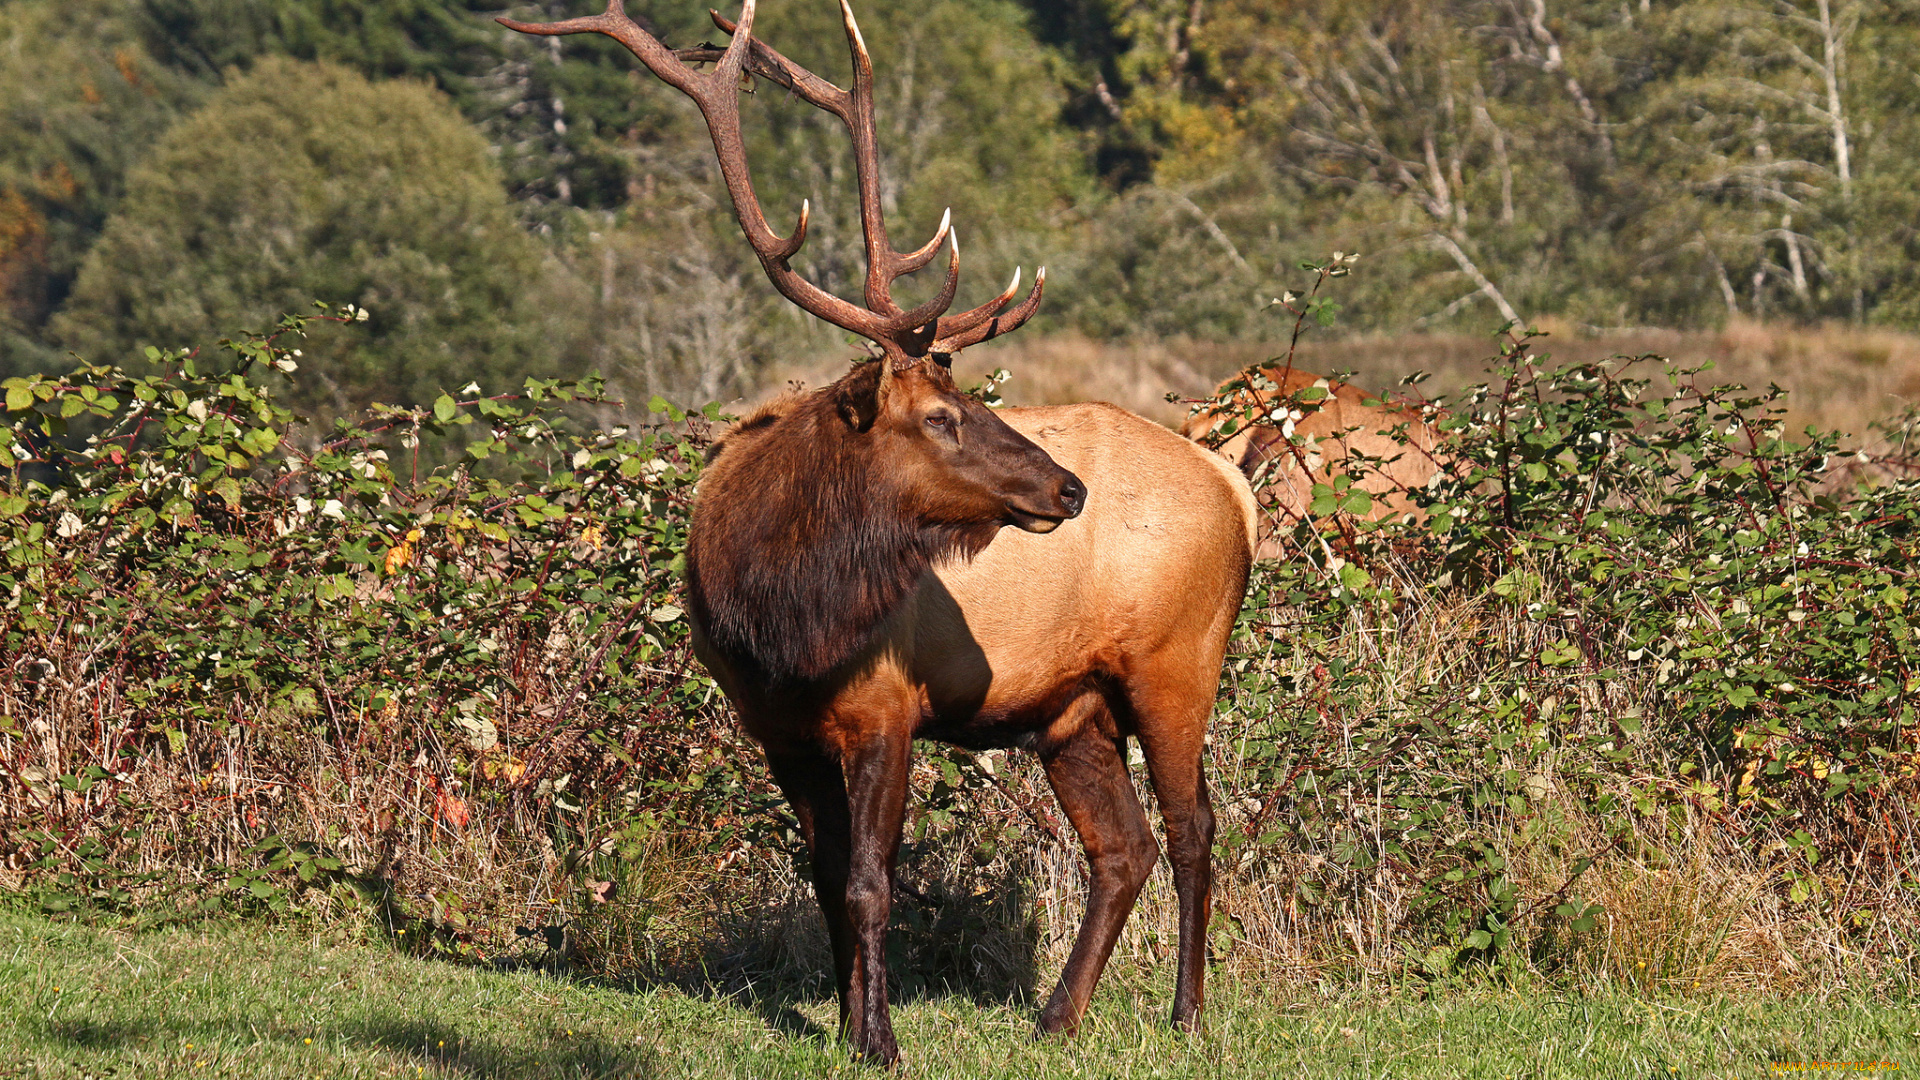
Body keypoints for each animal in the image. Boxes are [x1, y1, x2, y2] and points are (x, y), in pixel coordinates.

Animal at [503, 0, 1267, 1060]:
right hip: (1070, 707)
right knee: (1124, 844)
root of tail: (1235, 487)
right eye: (942, 415)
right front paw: (838, 1019)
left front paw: (880, 1038)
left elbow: (872, 883)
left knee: (1196, 827)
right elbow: (826, 878)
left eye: (969, 399)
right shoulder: (773, 727)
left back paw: (1188, 1012)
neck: (780, 618)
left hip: (1176, 660)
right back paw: (1056, 1015)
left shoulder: (888, 709)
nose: (1066, 489)